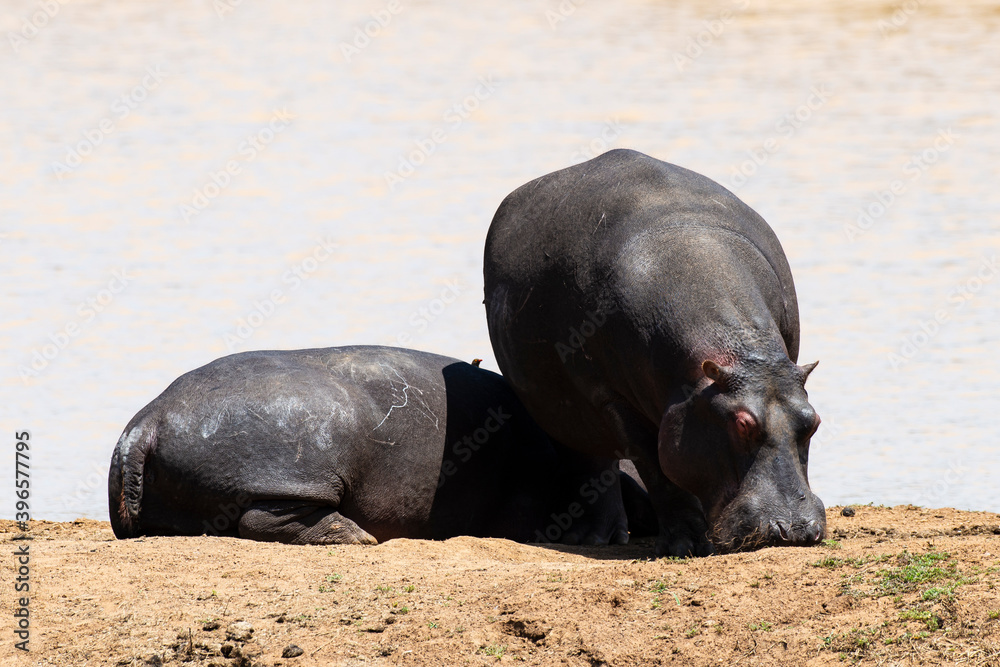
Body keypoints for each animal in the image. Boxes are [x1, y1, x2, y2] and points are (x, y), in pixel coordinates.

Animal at [483, 148, 826, 556]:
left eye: (814, 421)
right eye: (741, 423)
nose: (795, 529)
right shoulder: (612, 398)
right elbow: (655, 467)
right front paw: (688, 543)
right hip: (563, 410)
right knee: (589, 459)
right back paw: (593, 538)